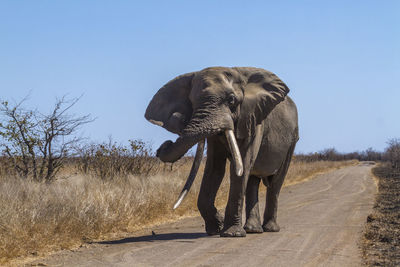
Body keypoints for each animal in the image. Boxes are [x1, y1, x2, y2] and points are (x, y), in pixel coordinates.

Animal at [145, 67, 298, 239]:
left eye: (231, 99)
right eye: (191, 101)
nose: (163, 146)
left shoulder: (254, 119)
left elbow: (241, 167)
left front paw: (232, 234)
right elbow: (214, 169)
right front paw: (216, 229)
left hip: (292, 139)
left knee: (276, 182)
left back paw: (270, 229)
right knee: (252, 181)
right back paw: (253, 229)